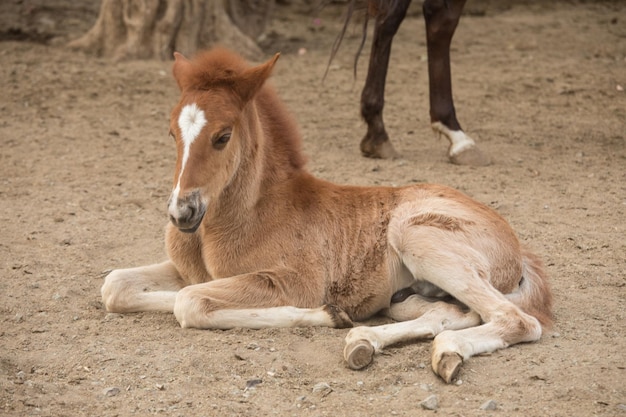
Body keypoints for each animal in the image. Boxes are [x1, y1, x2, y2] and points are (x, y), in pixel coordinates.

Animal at [102, 47, 552, 382]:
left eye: (223, 136)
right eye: (172, 133)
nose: (182, 213)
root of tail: (520, 250)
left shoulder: (293, 280)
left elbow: (191, 302)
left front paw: (329, 312)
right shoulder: (188, 269)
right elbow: (116, 286)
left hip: (418, 236)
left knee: (516, 320)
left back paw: (443, 352)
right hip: (416, 288)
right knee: (453, 311)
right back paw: (364, 343)